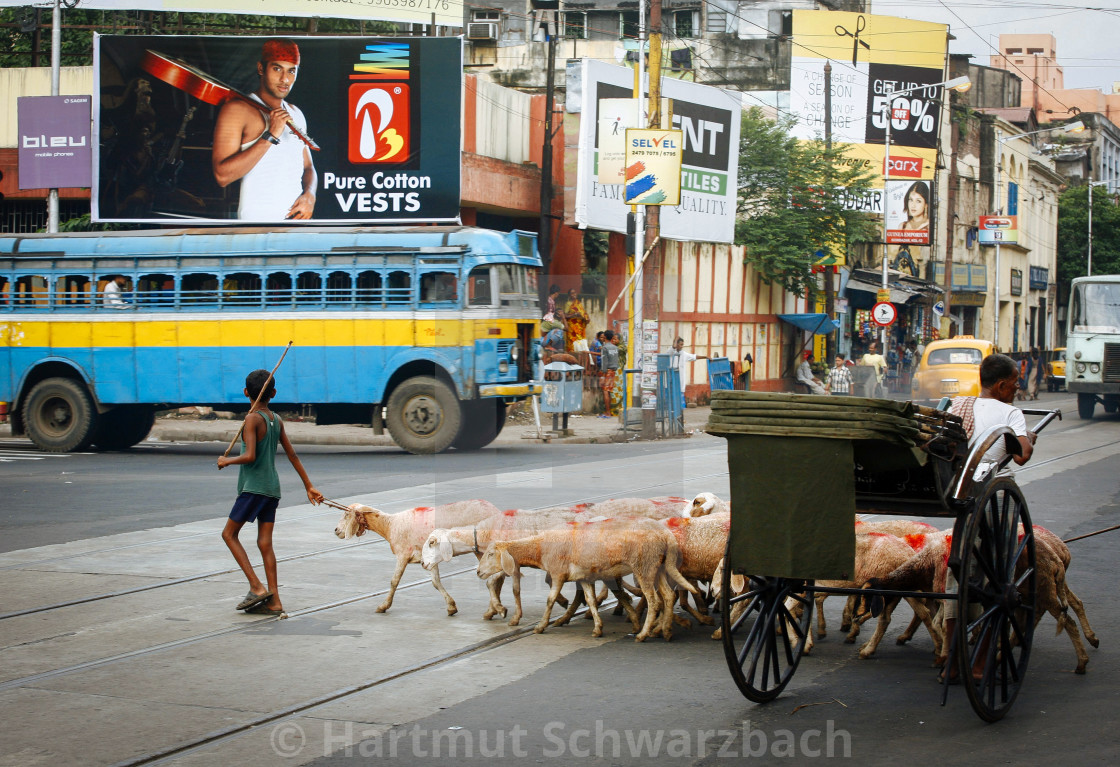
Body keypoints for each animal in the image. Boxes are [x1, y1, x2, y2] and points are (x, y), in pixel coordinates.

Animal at [474, 515, 698, 640]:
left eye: (491, 554)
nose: (477, 572)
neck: (540, 547)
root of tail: (666, 535)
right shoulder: (584, 577)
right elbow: (590, 600)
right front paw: (598, 628)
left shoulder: (558, 574)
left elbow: (550, 600)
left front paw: (540, 626)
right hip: (659, 567)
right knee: (668, 596)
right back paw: (665, 631)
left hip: (645, 567)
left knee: (654, 601)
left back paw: (643, 634)